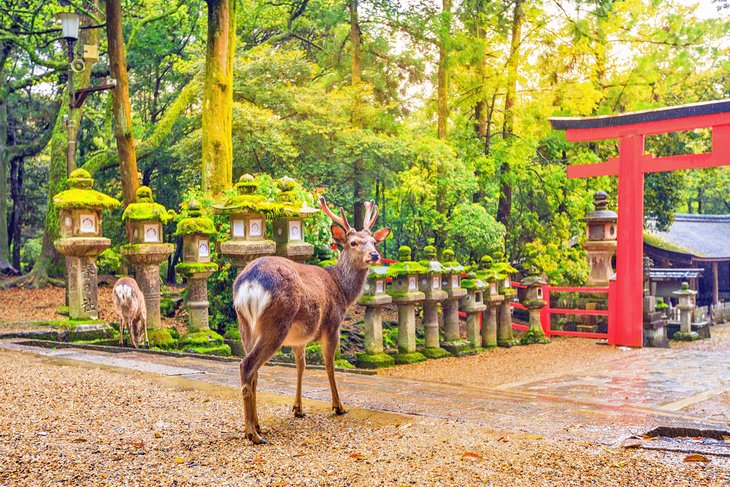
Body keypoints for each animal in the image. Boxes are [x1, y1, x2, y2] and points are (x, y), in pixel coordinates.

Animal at [233, 196, 390, 444]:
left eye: (374, 241)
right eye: (353, 242)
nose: (374, 255)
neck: (342, 290)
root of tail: (249, 283)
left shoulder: (299, 339)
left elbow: (301, 367)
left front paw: (298, 408)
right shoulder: (332, 324)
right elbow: (329, 365)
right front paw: (338, 406)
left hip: (245, 323)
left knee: (253, 371)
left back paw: (257, 425)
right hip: (276, 322)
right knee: (247, 365)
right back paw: (252, 433)